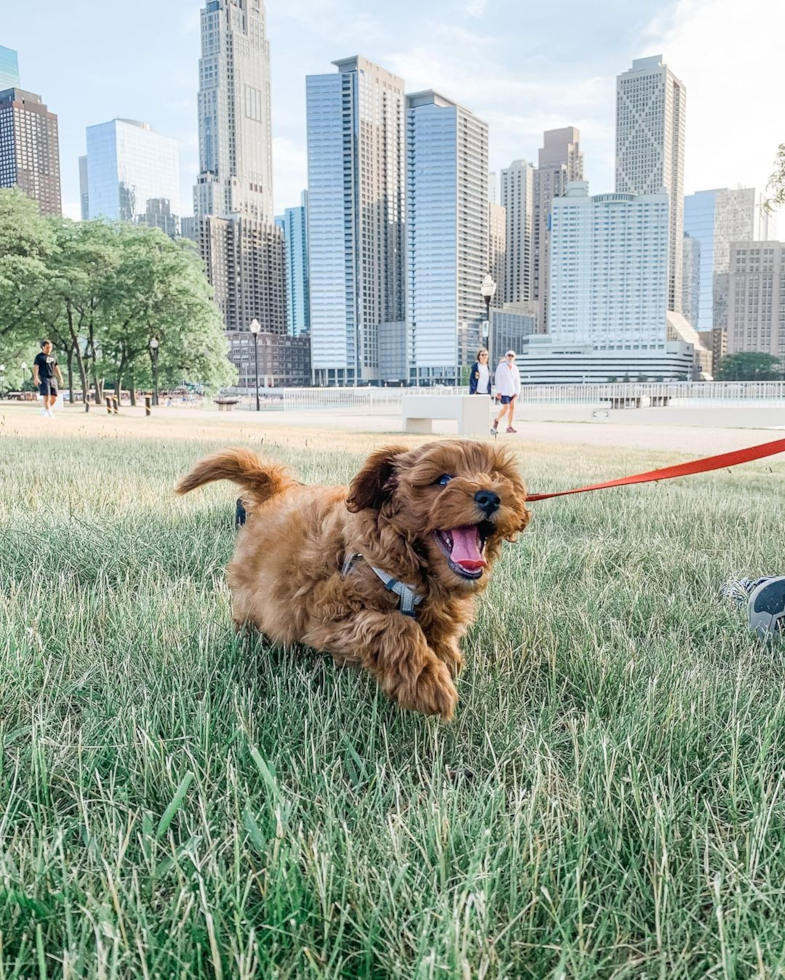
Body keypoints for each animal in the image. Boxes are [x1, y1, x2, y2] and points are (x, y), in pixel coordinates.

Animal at [179, 440, 528, 724]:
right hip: (253, 595)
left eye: (498, 476)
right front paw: (428, 686)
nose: (490, 496)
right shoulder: (327, 614)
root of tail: (276, 490)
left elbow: (440, 641)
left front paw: (446, 664)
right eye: (443, 479)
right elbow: (395, 627)